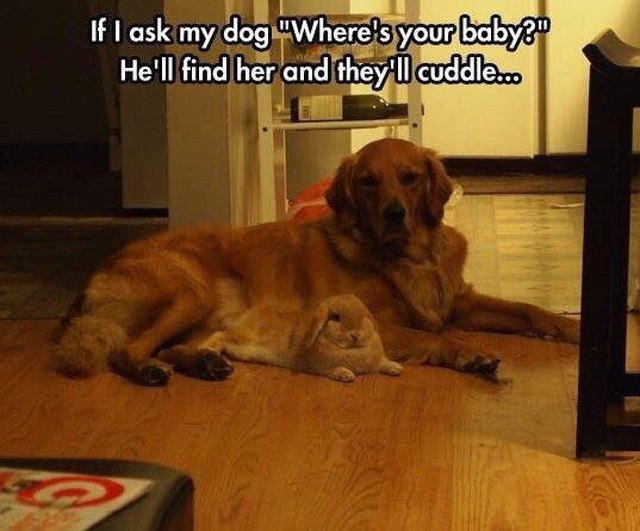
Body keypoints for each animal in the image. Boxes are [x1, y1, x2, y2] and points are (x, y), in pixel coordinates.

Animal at [158, 294, 403, 382]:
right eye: (335, 317)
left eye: (364, 315)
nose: (356, 335)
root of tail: (245, 315)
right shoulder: (321, 366)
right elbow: (334, 370)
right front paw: (346, 375)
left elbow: (384, 363)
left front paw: (397, 368)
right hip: (240, 338)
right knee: (220, 335)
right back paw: (208, 350)